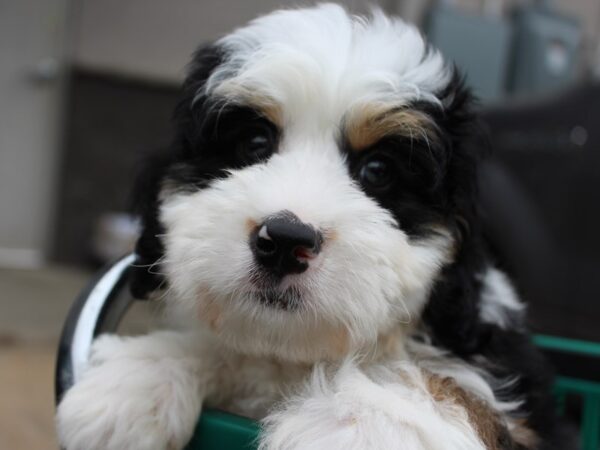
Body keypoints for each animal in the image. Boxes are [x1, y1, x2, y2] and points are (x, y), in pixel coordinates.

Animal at [56, 4, 572, 450]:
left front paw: (368, 423)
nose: (284, 241)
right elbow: (217, 345)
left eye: (378, 170)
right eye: (254, 142)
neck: (294, 355)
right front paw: (135, 381)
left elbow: (459, 387)